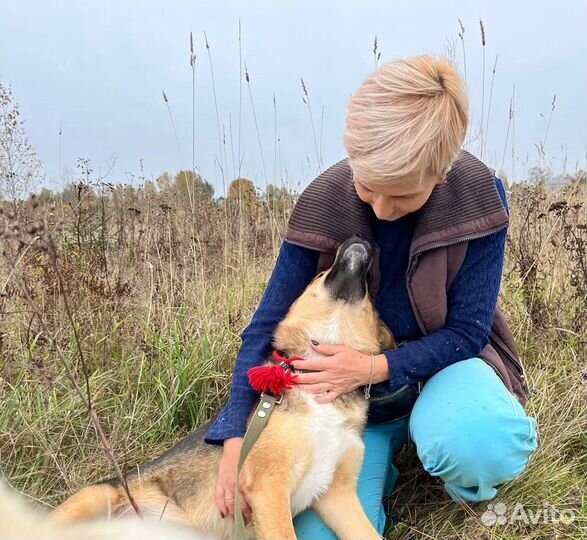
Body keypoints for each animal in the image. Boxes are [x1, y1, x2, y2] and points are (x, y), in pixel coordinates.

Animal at [51, 238, 396, 536]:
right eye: (320, 275)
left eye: (369, 293)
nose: (359, 238)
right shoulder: (269, 486)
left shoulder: (338, 495)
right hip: (94, 498)